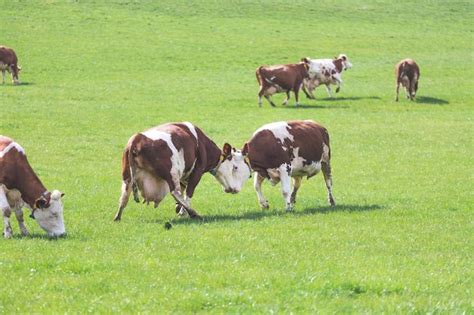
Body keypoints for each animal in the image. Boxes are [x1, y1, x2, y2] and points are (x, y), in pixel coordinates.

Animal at [113, 121, 252, 222]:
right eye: (235, 167)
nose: (236, 189)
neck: (201, 143)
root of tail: (137, 139)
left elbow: (184, 189)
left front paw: (179, 208)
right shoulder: (196, 171)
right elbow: (189, 192)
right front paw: (182, 211)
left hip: (127, 176)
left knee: (124, 195)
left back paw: (117, 216)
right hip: (171, 173)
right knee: (175, 191)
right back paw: (193, 213)